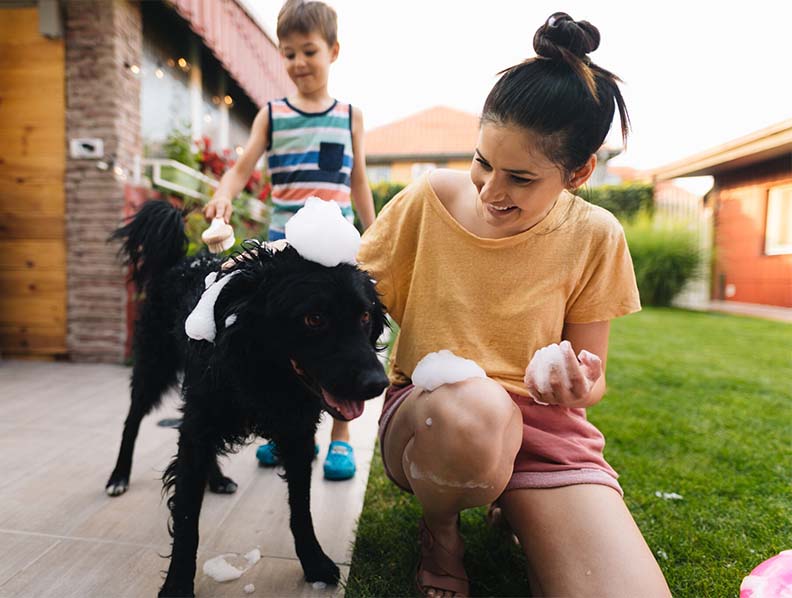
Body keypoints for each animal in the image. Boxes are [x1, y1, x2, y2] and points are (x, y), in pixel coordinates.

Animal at [106, 203, 390, 598]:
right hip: (154, 367)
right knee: (132, 421)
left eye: (364, 316)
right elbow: (187, 519)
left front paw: (314, 562)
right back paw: (119, 476)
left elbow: (301, 508)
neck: (262, 371)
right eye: (314, 318)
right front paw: (177, 584)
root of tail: (181, 261)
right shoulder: (200, 422)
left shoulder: (297, 433)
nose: (378, 383)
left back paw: (216, 478)